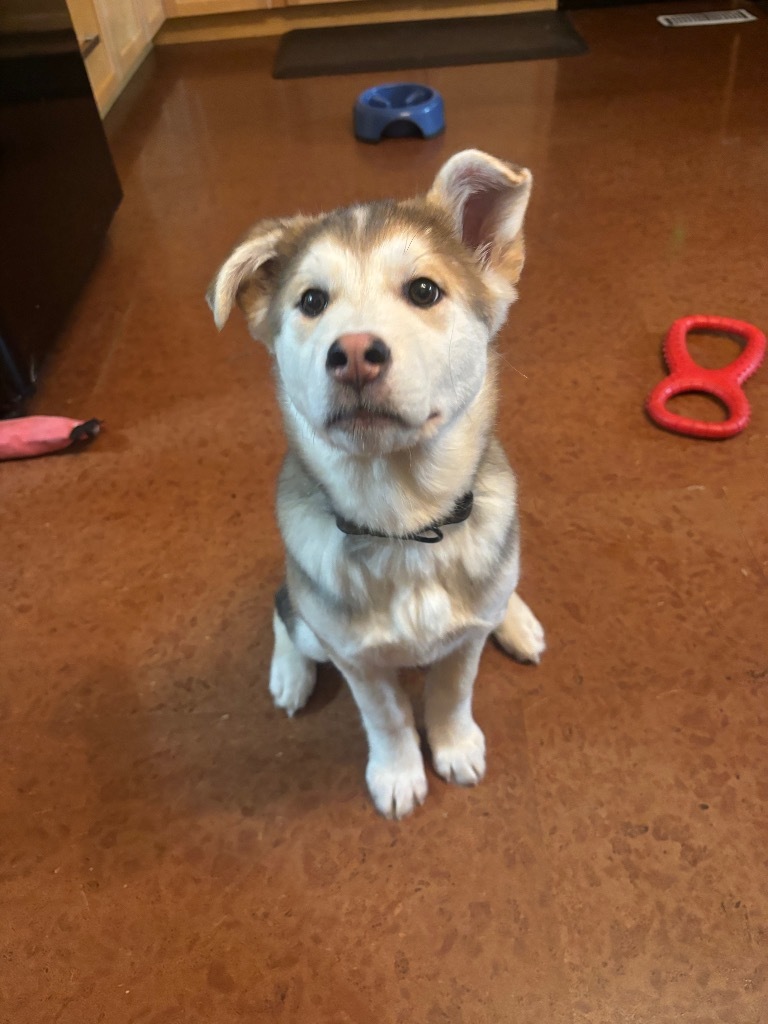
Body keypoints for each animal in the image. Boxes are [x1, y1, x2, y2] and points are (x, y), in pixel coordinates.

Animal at [208, 149, 548, 815]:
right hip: (312, 621)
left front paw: (454, 744)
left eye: (424, 290)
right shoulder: (356, 659)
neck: (405, 524)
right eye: (312, 301)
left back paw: (516, 619)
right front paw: (397, 773)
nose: (356, 353)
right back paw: (290, 674)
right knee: (286, 610)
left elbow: (453, 691)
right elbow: (386, 715)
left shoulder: (463, 641)